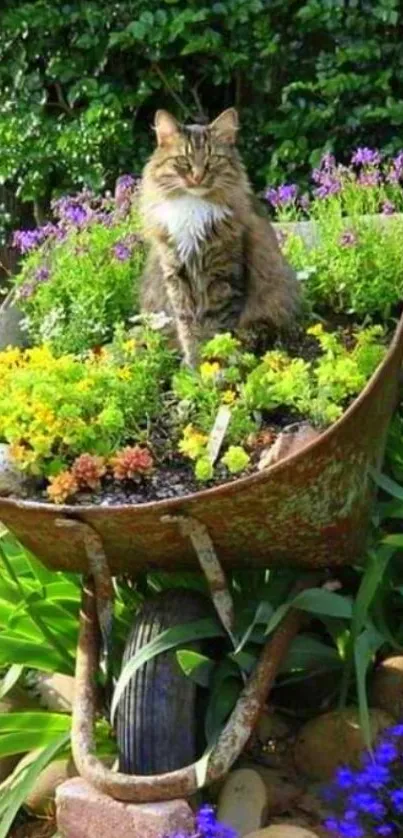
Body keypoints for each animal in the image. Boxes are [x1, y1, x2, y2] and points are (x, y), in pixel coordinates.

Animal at [139, 106, 300, 366]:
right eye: (183, 161)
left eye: (211, 160)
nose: (197, 177)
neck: (193, 207)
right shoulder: (177, 274)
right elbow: (188, 327)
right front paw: (194, 365)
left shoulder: (224, 273)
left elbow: (217, 327)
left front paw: (214, 364)